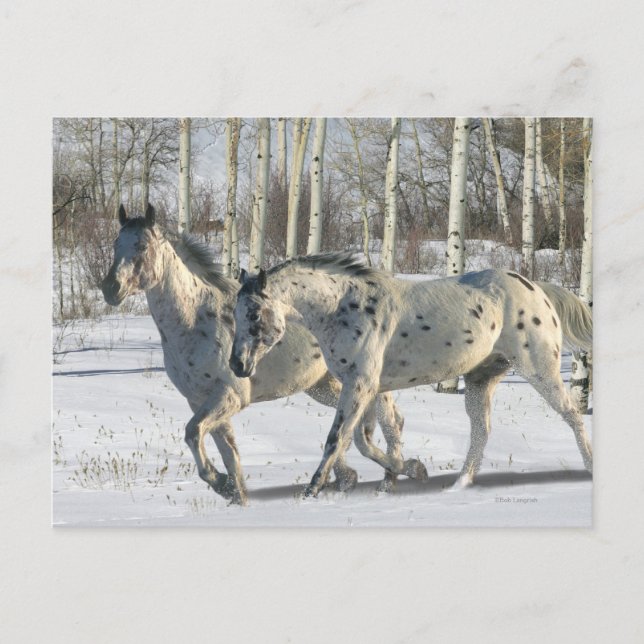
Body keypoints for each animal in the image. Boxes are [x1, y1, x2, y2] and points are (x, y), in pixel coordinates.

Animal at [101, 205, 419, 505]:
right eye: (116, 243)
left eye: (143, 245)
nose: (110, 288)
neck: (196, 321)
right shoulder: (199, 400)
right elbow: (229, 454)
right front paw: (234, 494)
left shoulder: (229, 395)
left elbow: (193, 433)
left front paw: (221, 484)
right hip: (326, 386)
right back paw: (354, 478)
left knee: (391, 421)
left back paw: (394, 479)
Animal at [229, 252, 593, 498]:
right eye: (235, 312)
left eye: (255, 313)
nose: (237, 365)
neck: (344, 308)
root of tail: (537, 290)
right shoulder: (368, 387)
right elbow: (366, 439)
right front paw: (410, 471)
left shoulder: (360, 385)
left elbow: (339, 437)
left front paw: (311, 491)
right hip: (481, 379)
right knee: (481, 431)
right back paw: (459, 486)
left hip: (539, 369)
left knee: (572, 414)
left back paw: (589, 469)